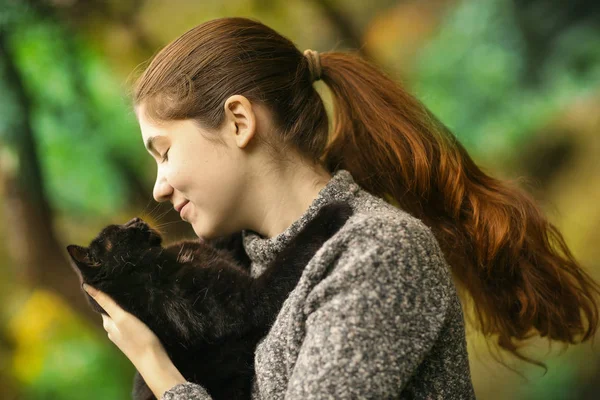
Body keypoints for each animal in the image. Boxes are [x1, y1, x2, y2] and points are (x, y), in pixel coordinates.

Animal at [67, 203, 352, 400]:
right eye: (117, 232)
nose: (136, 219)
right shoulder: (247, 300)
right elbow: (290, 255)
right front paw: (331, 209)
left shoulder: (220, 251)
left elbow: (224, 238)